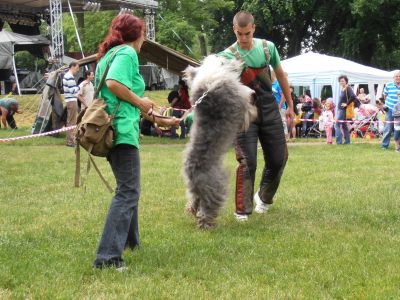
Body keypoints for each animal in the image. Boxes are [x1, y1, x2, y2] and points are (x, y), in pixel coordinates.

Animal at [182, 55, 256, 229]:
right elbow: (247, 105)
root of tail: (193, 173)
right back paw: (207, 224)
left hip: (194, 189)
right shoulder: (240, 101)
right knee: (208, 208)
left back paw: (193, 210)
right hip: (216, 187)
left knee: (194, 201)